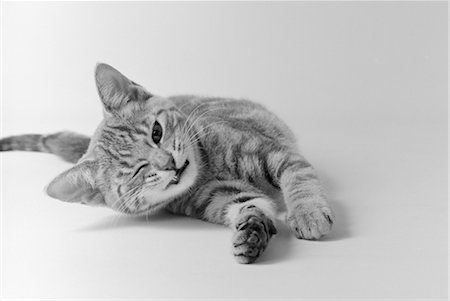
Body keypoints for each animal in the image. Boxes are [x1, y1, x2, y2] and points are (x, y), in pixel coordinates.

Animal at [0, 62, 334, 262]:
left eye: (157, 133)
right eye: (137, 171)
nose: (168, 163)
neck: (206, 169)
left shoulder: (273, 151)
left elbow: (298, 177)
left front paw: (308, 213)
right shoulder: (217, 197)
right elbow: (251, 205)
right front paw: (251, 233)